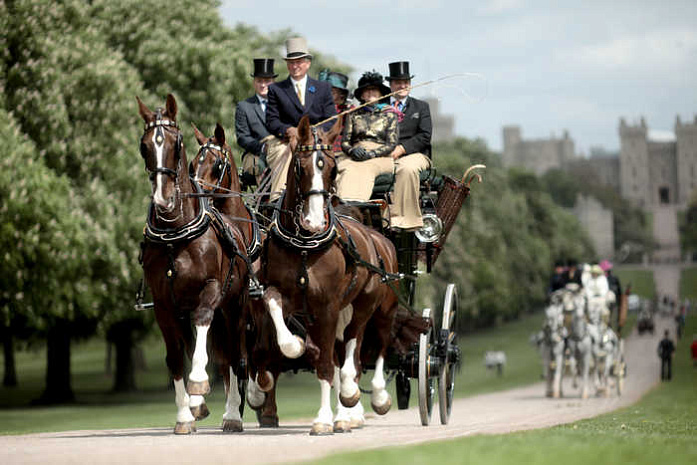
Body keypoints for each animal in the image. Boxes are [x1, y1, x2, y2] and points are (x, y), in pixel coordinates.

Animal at [135, 94, 247, 432]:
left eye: (176, 144)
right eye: (144, 146)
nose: (163, 198)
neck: (175, 234)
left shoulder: (210, 291)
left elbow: (203, 323)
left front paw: (198, 383)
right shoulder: (163, 303)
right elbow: (174, 357)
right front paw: (185, 414)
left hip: (234, 306)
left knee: (234, 356)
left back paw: (233, 414)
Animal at [253, 116, 400, 436]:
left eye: (333, 168)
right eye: (300, 167)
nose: (315, 221)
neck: (304, 246)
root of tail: (376, 236)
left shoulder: (328, 307)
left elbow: (326, 365)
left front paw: (323, 419)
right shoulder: (293, 301)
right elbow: (276, 309)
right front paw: (294, 345)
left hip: (377, 306)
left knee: (368, 346)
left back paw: (370, 397)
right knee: (343, 353)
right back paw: (345, 413)